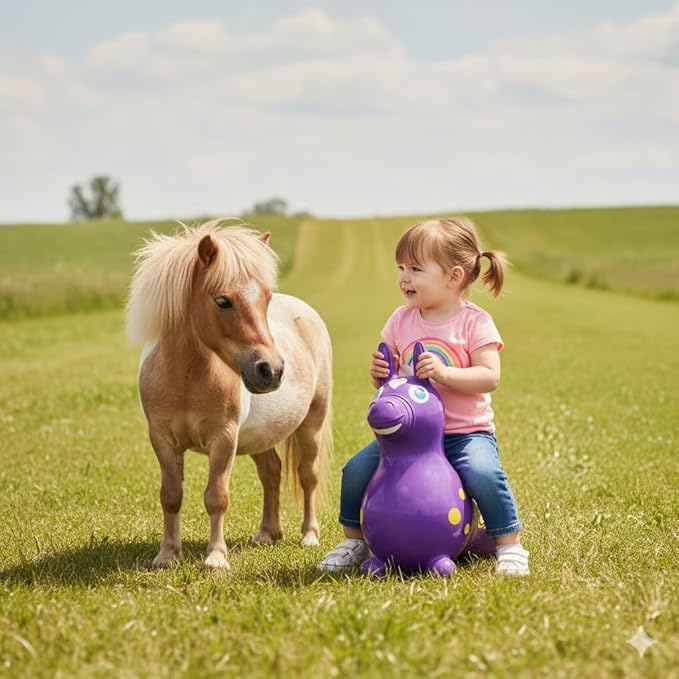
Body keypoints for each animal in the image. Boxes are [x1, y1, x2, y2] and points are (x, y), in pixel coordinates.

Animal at [126, 219, 332, 569]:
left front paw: (216, 558)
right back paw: (267, 534)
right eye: (222, 301)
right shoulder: (163, 440)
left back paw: (309, 535)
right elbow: (171, 496)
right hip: (262, 435)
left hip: (312, 424)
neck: (187, 379)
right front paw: (168, 555)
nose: (271, 370)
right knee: (271, 472)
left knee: (308, 475)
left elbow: (216, 497)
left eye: (266, 299)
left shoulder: (224, 439)